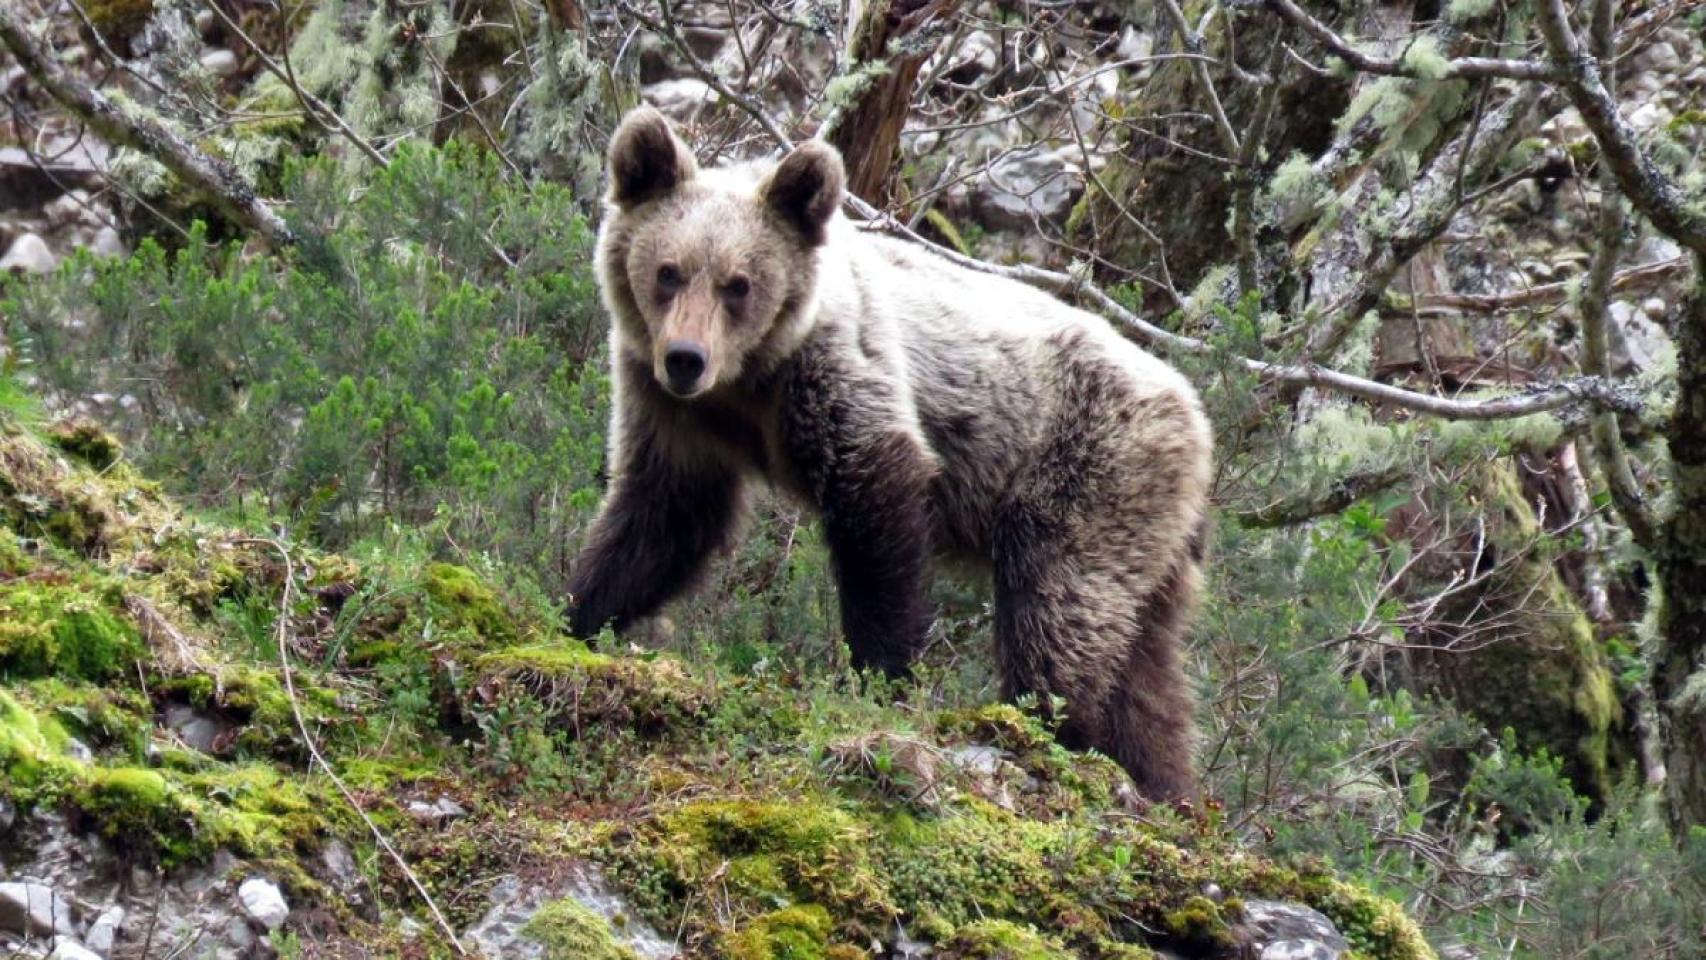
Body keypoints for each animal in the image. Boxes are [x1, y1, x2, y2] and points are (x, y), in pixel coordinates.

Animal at [566, 106, 1214, 800]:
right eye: (668, 271)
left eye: (738, 284)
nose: (686, 358)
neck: (751, 379)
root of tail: (1196, 417)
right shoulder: (674, 411)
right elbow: (664, 515)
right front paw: (580, 610)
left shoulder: (839, 373)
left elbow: (876, 505)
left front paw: (882, 672)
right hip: (1152, 540)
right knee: (1148, 673)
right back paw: (1163, 783)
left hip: (1089, 472)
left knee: (1059, 610)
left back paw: (1049, 729)